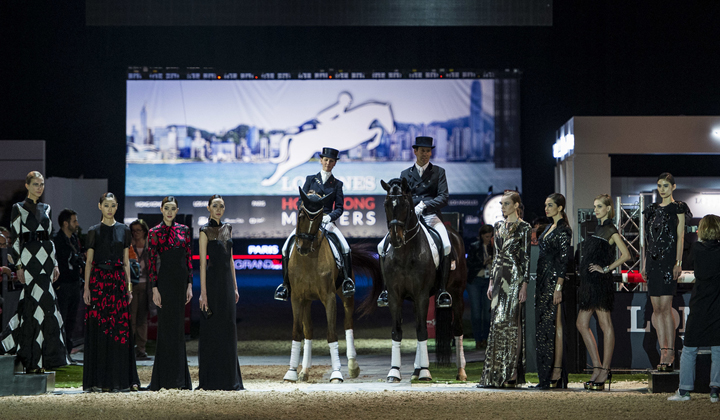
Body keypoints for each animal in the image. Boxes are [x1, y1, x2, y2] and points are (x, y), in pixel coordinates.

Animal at [284, 189, 380, 382]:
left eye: (320, 218)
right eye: (300, 215)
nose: (303, 247)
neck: (307, 260)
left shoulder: (329, 298)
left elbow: (331, 334)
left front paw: (336, 373)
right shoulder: (297, 298)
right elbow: (297, 332)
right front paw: (291, 372)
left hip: (346, 296)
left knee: (348, 324)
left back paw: (352, 366)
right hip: (306, 301)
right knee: (308, 331)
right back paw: (304, 371)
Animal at [362, 179, 470, 382]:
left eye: (405, 204)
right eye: (386, 204)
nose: (395, 238)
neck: (404, 253)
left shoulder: (421, 295)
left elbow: (422, 331)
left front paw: (426, 372)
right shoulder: (395, 296)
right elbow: (397, 331)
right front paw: (394, 371)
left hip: (457, 294)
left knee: (458, 329)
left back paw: (460, 371)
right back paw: (415, 370)